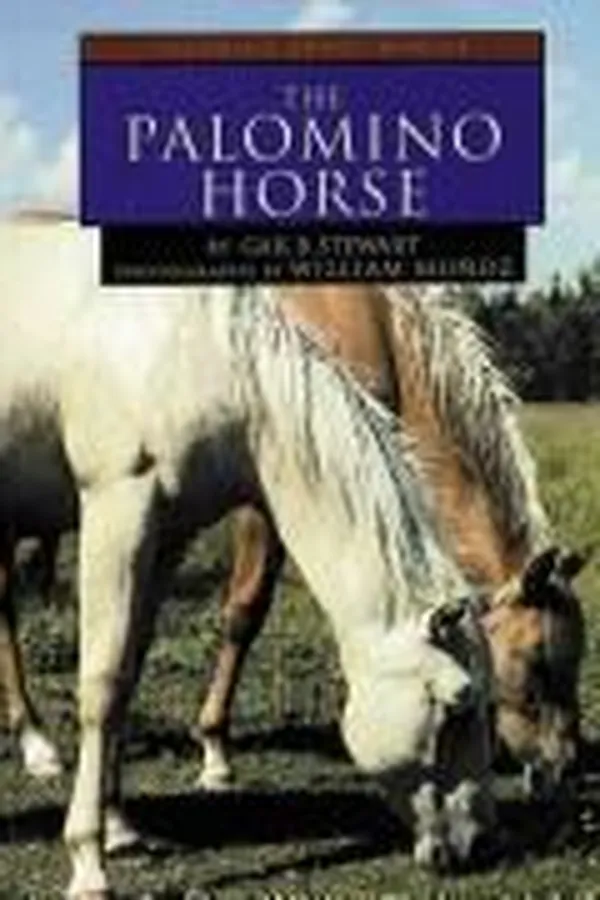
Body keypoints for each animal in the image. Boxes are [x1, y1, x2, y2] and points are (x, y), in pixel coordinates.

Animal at [0, 216, 497, 898]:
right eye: (456, 704)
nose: (479, 846)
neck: (199, 351)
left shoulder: (167, 534)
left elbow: (129, 671)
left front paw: (123, 827)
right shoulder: (116, 509)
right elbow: (101, 684)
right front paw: (88, 862)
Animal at [194, 285, 587, 799]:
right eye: (536, 660)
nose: (565, 767)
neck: (371, 327)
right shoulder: (266, 501)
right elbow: (244, 613)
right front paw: (215, 752)